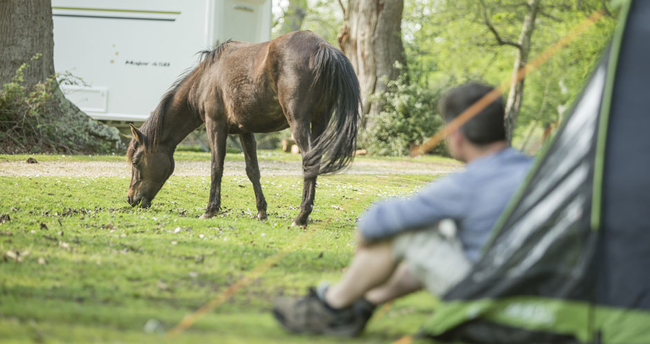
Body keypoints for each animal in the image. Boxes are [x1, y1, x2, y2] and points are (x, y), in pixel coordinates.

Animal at [125, 30, 360, 226]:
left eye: (136, 161)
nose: (130, 199)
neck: (206, 79)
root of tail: (322, 47)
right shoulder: (245, 131)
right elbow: (252, 171)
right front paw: (261, 212)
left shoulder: (215, 126)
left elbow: (216, 167)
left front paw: (210, 210)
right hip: (319, 121)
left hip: (299, 123)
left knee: (310, 161)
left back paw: (301, 216)